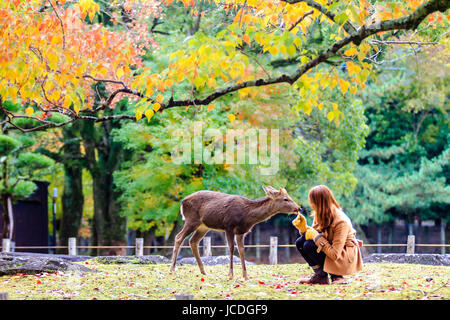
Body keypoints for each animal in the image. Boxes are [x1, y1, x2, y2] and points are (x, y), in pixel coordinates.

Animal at [171, 185, 300, 280]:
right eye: (285, 199)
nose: (299, 208)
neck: (246, 216)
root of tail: (182, 202)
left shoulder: (241, 232)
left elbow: (242, 250)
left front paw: (246, 276)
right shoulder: (229, 226)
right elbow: (231, 248)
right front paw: (231, 275)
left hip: (203, 226)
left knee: (193, 241)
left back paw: (203, 271)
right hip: (191, 220)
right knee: (178, 237)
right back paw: (172, 269)